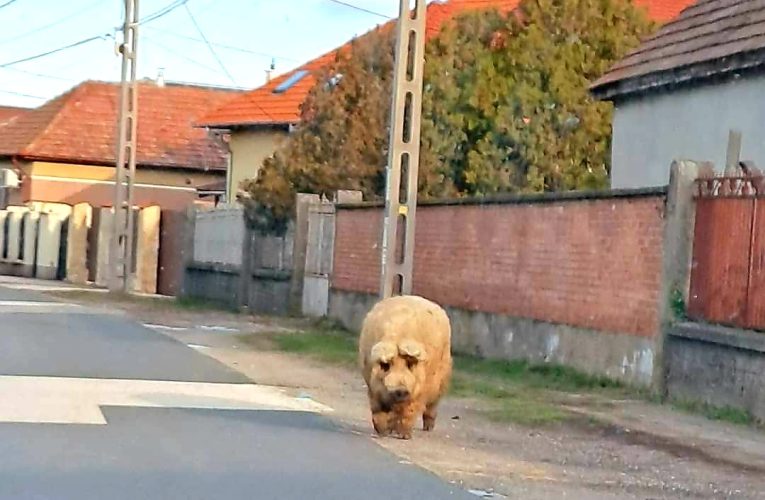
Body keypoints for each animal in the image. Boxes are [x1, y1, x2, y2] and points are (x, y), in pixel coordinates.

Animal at [360, 294, 454, 440]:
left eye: (409, 365)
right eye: (386, 366)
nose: (401, 390)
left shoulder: (419, 390)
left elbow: (410, 410)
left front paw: (404, 436)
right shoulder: (373, 387)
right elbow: (378, 410)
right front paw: (382, 432)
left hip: (442, 378)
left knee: (432, 405)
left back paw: (428, 428)